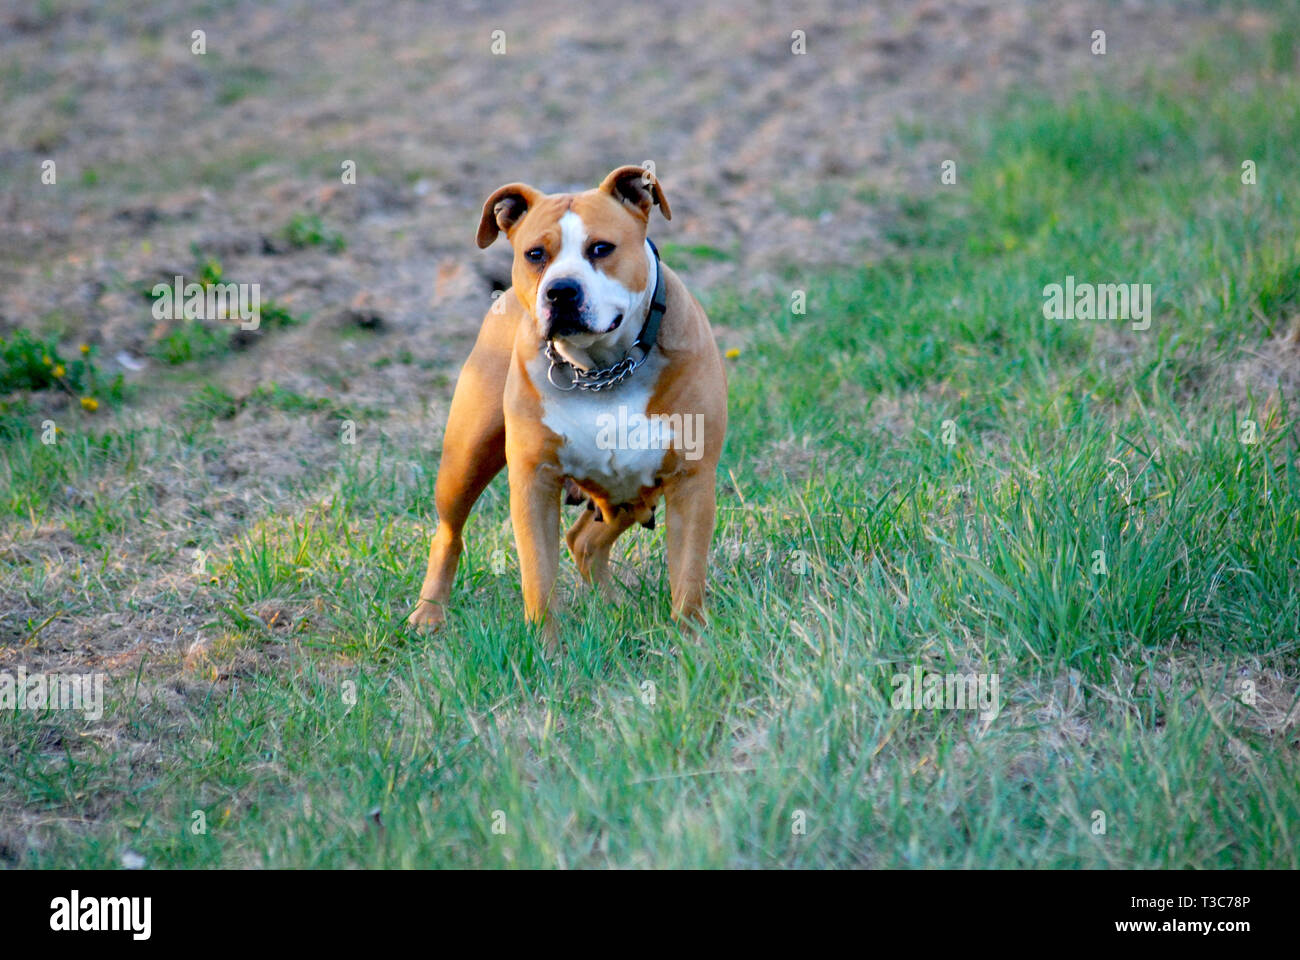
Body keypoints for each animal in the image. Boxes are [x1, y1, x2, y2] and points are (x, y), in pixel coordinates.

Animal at [410, 165, 728, 640]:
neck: (602, 371)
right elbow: (539, 577)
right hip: (465, 458)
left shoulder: (691, 479)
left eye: (601, 248)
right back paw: (429, 613)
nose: (560, 291)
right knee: (449, 532)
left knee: (584, 541)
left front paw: (691, 640)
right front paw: (548, 646)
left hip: (631, 491)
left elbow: (688, 576)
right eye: (535, 254)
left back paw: (614, 608)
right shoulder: (533, 482)